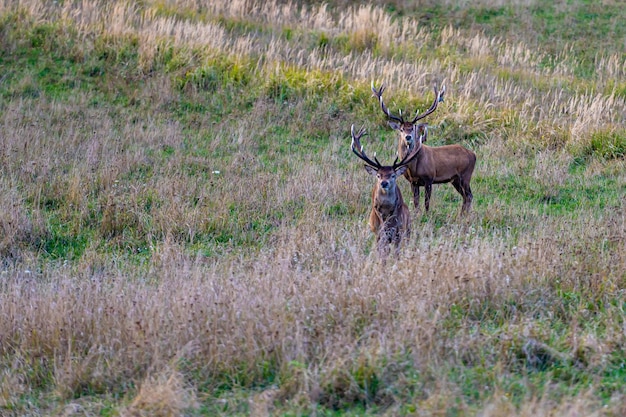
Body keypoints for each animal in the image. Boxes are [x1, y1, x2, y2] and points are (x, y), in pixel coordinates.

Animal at [348, 123, 422, 256]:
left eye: (393, 175)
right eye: (378, 175)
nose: (384, 183)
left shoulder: (398, 231)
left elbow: (396, 252)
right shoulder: (378, 233)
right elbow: (382, 253)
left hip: (408, 228)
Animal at [370, 82, 472, 214]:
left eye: (413, 128)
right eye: (401, 129)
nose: (408, 137)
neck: (413, 168)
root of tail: (473, 155)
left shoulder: (429, 178)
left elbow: (426, 203)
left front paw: (427, 215)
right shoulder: (413, 182)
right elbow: (416, 202)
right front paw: (417, 214)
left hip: (465, 175)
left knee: (469, 195)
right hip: (455, 180)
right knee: (466, 196)